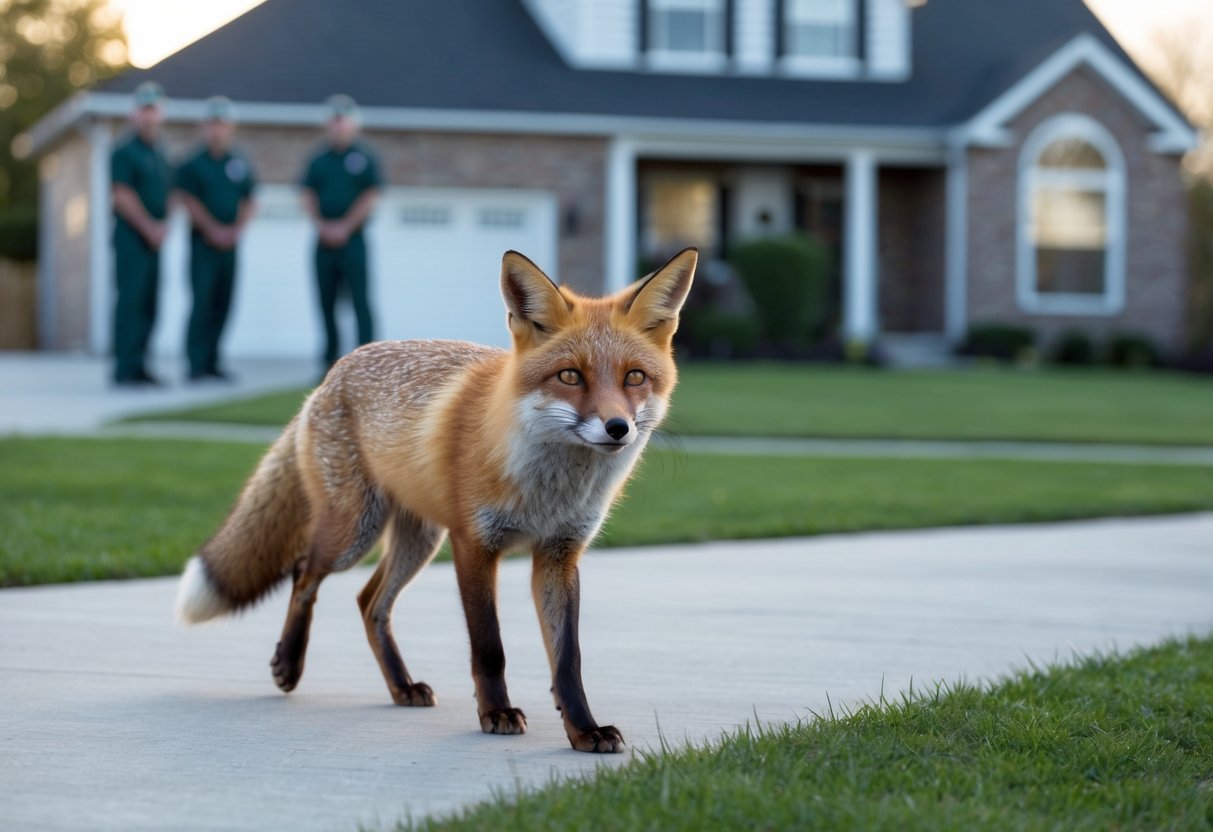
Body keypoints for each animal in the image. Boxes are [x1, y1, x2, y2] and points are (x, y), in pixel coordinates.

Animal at [174, 247, 697, 753]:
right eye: (570, 376)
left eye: (634, 378)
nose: (617, 428)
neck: (546, 491)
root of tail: (332, 373)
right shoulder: (474, 544)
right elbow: (489, 647)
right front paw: (496, 714)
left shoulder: (559, 554)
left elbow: (568, 660)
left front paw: (584, 730)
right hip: (354, 533)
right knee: (304, 573)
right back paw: (289, 664)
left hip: (419, 541)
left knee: (369, 601)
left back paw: (401, 687)